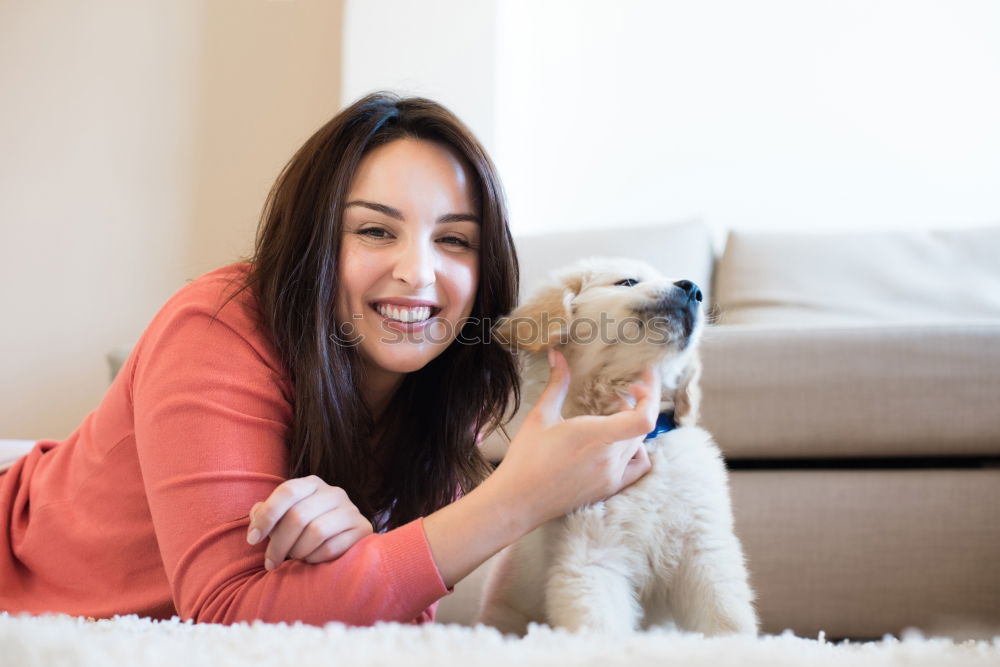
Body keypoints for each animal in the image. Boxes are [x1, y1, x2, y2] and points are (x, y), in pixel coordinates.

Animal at [478, 256, 756, 636]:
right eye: (627, 282)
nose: (694, 288)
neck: (641, 440)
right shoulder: (591, 554)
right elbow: (599, 626)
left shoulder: (704, 548)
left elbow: (727, 618)